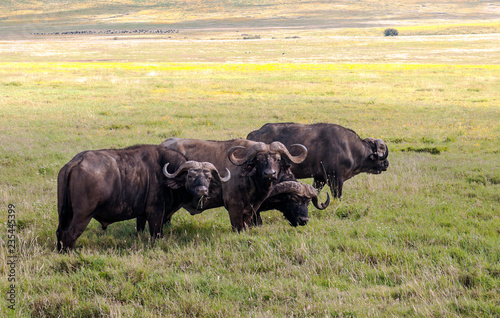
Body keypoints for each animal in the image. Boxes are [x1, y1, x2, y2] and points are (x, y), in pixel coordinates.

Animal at [56, 144, 230, 251]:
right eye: (191, 176)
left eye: (208, 177)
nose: (202, 190)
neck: (163, 174)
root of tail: (76, 162)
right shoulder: (156, 212)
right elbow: (156, 234)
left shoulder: (141, 214)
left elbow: (139, 229)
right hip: (83, 215)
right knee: (70, 233)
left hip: (64, 214)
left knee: (60, 232)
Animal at [248, 123, 388, 198]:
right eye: (377, 153)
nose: (386, 164)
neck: (350, 148)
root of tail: (253, 134)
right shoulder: (335, 179)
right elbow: (337, 195)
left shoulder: (319, 179)